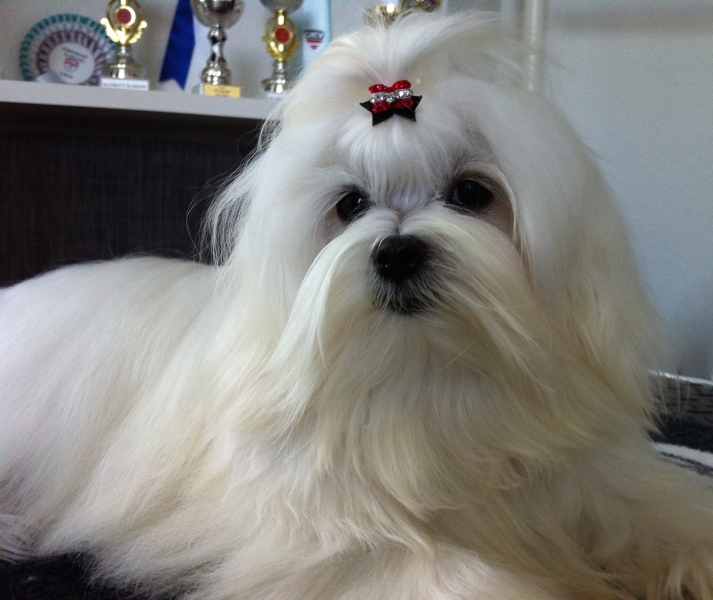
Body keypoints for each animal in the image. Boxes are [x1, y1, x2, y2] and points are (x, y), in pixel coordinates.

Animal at [2, 11, 713, 600]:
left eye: (471, 193)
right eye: (350, 205)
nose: (396, 253)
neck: (424, 376)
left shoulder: (593, 486)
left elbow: (660, 514)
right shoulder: (323, 537)